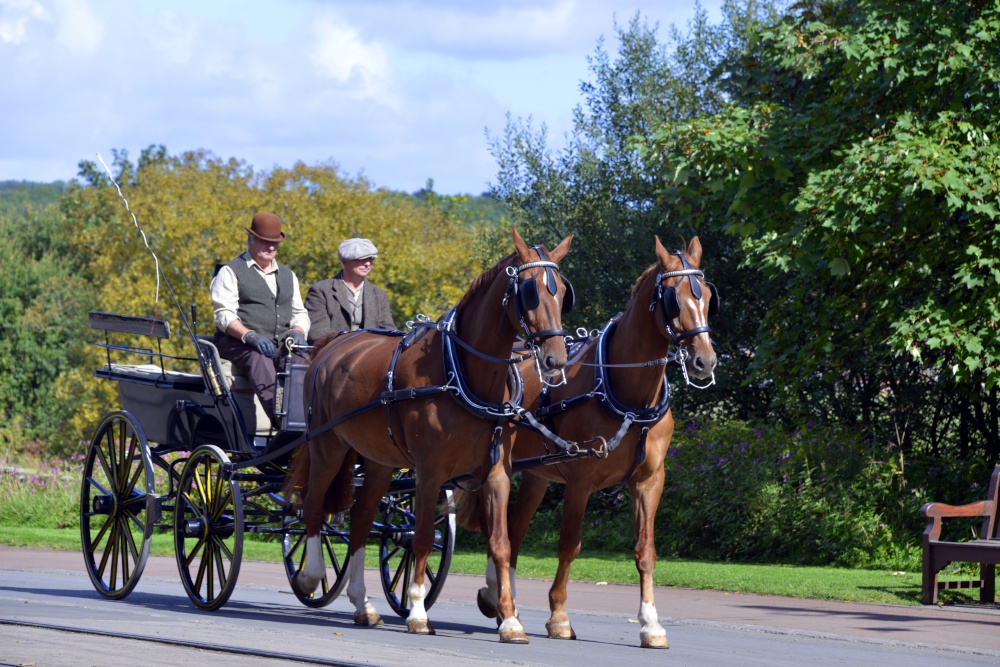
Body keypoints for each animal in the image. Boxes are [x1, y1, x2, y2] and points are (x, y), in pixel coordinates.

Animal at [286, 228, 576, 640]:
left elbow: (501, 543)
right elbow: (422, 537)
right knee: (312, 505)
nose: (555, 359)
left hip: (378, 460)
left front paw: (509, 619)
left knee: (360, 518)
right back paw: (311, 576)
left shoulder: (497, 473)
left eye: (563, 292)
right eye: (530, 291)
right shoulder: (429, 471)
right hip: (328, 445)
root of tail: (331, 346)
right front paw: (419, 612)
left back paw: (363, 604)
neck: (462, 374)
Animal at [460, 237, 720, 648]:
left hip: (536, 476)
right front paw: (559, 617)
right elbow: (570, 545)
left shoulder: (649, 482)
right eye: (673, 299)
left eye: (708, 296)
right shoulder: (581, 480)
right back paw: (500, 601)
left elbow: (646, 551)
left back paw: (503, 602)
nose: (704, 361)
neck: (627, 396)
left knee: (514, 531)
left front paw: (651, 623)